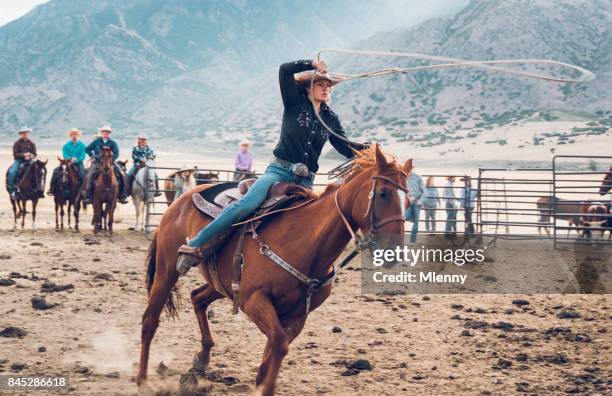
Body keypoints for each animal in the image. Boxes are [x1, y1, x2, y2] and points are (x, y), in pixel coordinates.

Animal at [136, 145, 408, 396]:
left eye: (408, 200)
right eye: (383, 193)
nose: (393, 250)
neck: (305, 240)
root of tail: (181, 200)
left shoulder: (297, 315)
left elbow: (273, 354)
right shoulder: (254, 300)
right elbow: (278, 344)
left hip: (222, 284)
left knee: (198, 298)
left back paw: (201, 360)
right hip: (167, 270)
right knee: (150, 320)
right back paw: (142, 380)